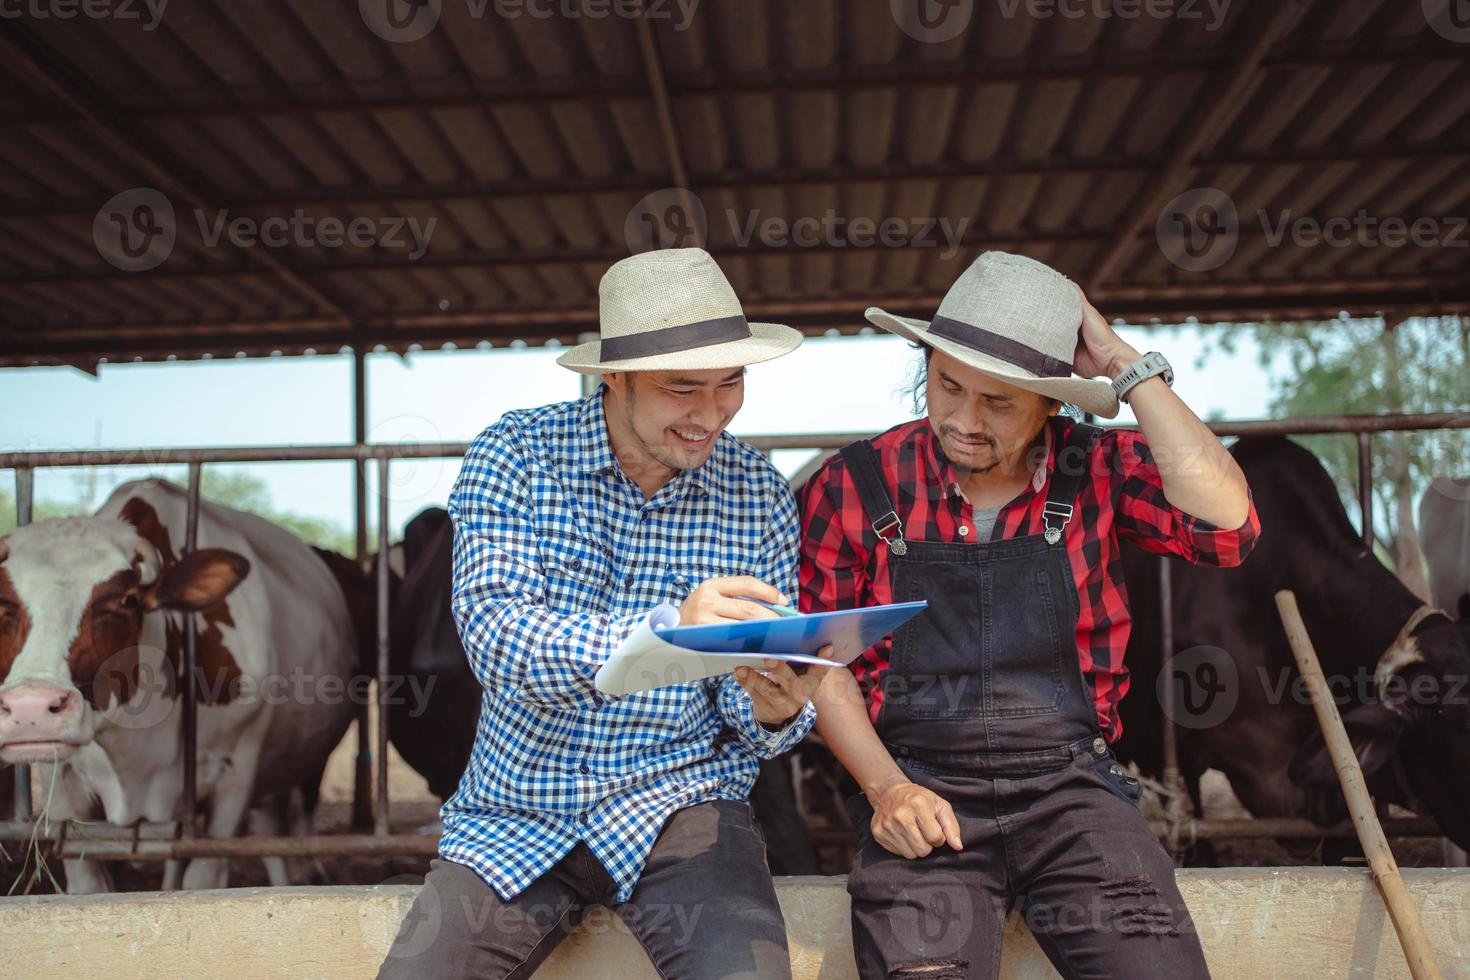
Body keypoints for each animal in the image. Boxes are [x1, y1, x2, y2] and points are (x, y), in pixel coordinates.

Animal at [0, 478, 358, 893]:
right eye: (3, 604)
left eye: (127, 600)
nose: (31, 708)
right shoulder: (61, 784)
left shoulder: (235, 774)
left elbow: (203, 878)